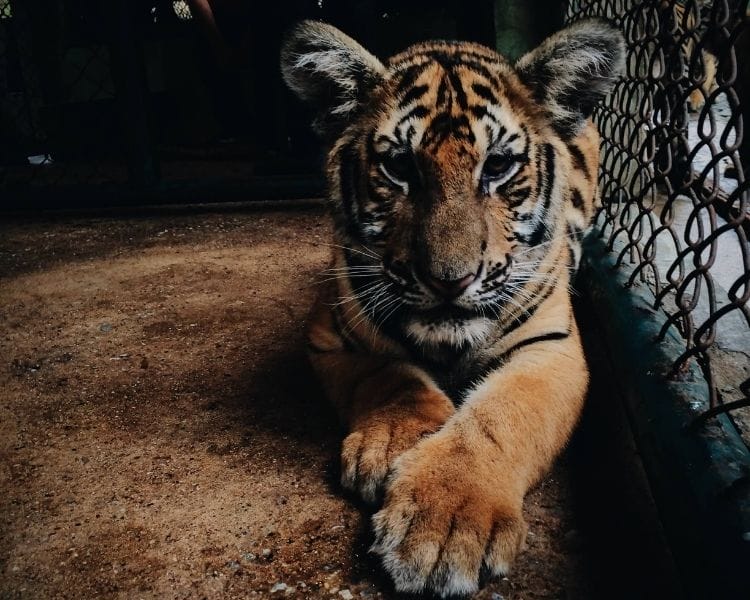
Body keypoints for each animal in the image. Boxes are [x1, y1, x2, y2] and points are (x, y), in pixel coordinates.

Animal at [281, 18, 624, 597]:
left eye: (499, 166)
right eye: (399, 167)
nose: (449, 280)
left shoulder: (551, 349)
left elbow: (501, 416)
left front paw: (445, 524)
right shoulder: (328, 332)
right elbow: (388, 375)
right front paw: (397, 444)